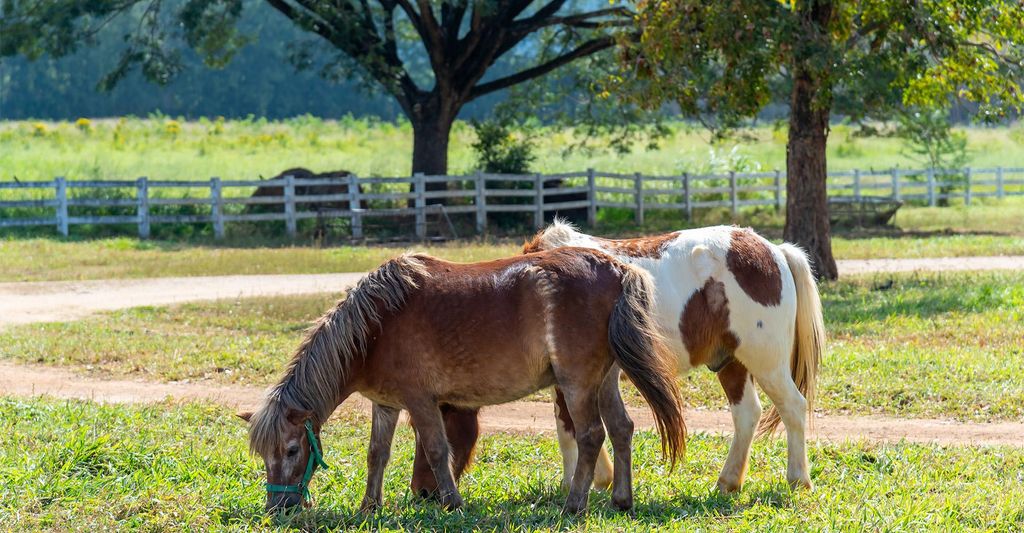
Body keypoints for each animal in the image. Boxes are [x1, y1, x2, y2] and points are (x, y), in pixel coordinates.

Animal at [238, 247, 687, 514]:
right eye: (263, 456)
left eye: (292, 450)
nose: (278, 510)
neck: (375, 327)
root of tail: (617, 268)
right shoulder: (384, 404)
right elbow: (376, 454)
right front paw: (370, 506)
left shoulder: (420, 402)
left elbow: (438, 451)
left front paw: (452, 502)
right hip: (606, 379)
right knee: (622, 428)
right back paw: (622, 500)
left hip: (576, 383)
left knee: (592, 435)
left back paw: (574, 505)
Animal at [411, 221, 825, 496]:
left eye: (436, 430)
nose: (422, 491)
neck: (527, 293)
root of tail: (773, 250)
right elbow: (571, 426)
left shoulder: (572, 378)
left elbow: (569, 427)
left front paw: (583, 480)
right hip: (731, 361)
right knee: (747, 415)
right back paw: (728, 481)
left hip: (764, 361)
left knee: (792, 407)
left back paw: (797, 479)